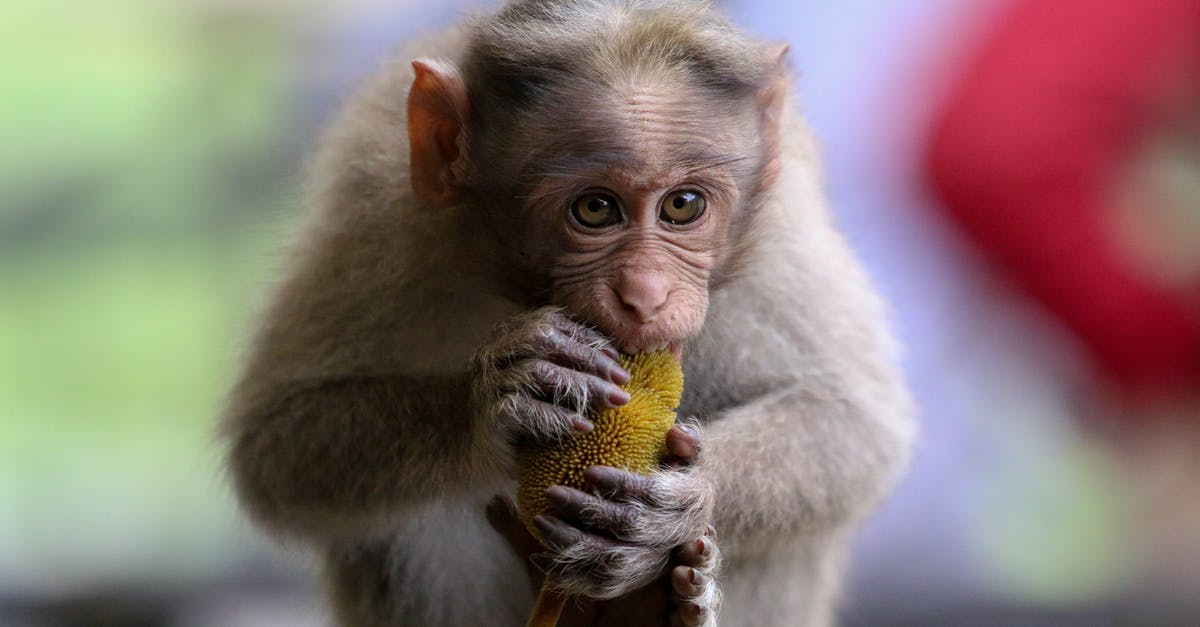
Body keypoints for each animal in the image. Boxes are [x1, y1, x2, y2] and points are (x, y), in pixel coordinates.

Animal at [221, 1, 915, 626]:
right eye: (594, 209)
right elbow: (279, 440)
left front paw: (681, 506)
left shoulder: (781, 224)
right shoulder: (379, 208)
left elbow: (853, 420)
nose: (646, 294)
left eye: (683, 205)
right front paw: (500, 398)